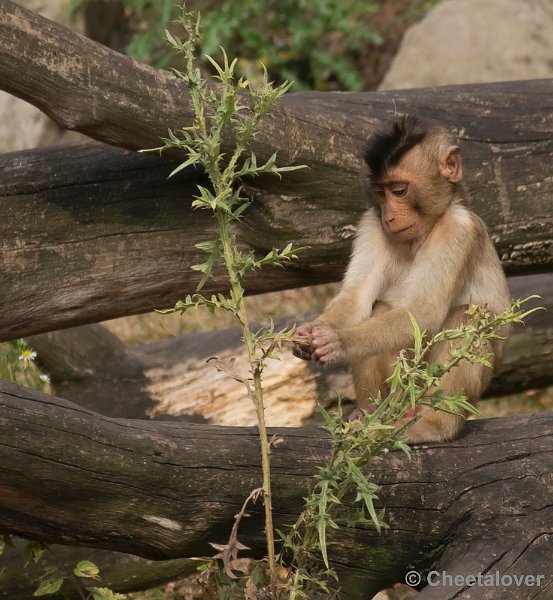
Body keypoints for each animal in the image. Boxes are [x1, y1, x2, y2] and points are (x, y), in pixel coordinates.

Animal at [294, 115, 508, 442]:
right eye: (380, 193)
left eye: (398, 190)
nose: (389, 216)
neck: (422, 234)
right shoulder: (371, 223)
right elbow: (357, 297)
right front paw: (311, 332)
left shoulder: (459, 230)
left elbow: (423, 313)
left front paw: (338, 341)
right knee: (379, 308)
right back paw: (369, 412)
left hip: (434, 391)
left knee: (469, 320)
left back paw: (436, 424)